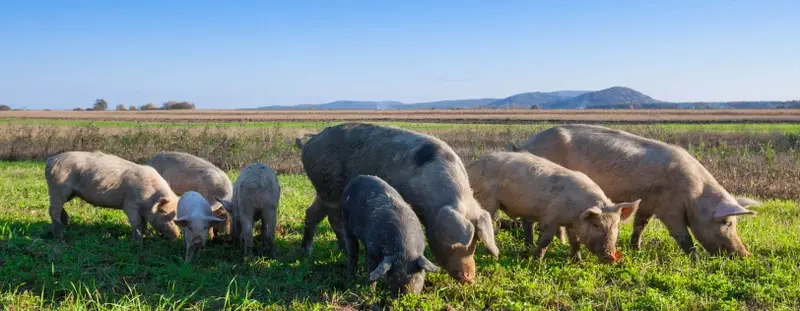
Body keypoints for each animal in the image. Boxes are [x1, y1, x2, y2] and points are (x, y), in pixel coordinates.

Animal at [45, 151, 181, 244]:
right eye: (163, 212)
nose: (176, 235)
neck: (149, 195)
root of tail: (50, 160)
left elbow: (144, 222)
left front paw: (146, 235)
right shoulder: (130, 204)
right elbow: (136, 222)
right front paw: (138, 241)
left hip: (69, 193)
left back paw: (65, 224)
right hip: (58, 188)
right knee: (53, 210)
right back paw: (60, 235)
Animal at [296, 123, 500, 284]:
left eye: (475, 243)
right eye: (455, 244)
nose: (469, 279)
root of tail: (310, 143)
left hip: (323, 191)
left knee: (312, 213)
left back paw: (310, 251)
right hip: (328, 187)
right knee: (333, 219)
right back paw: (331, 251)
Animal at [466, 152, 640, 264]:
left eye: (616, 226)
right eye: (596, 225)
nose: (611, 256)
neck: (576, 213)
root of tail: (470, 166)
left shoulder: (572, 224)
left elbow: (574, 241)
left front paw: (577, 260)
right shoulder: (551, 218)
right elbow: (546, 239)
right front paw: (536, 260)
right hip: (486, 200)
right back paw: (488, 254)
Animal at [512, 124, 764, 258]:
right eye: (727, 222)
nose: (746, 255)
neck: (695, 195)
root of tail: (526, 144)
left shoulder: (648, 203)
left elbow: (639, 225)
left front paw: (637, 249)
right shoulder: (670, 207)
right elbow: (682, 235)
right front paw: (696, 258)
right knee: (528, 218)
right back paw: (528, 245)